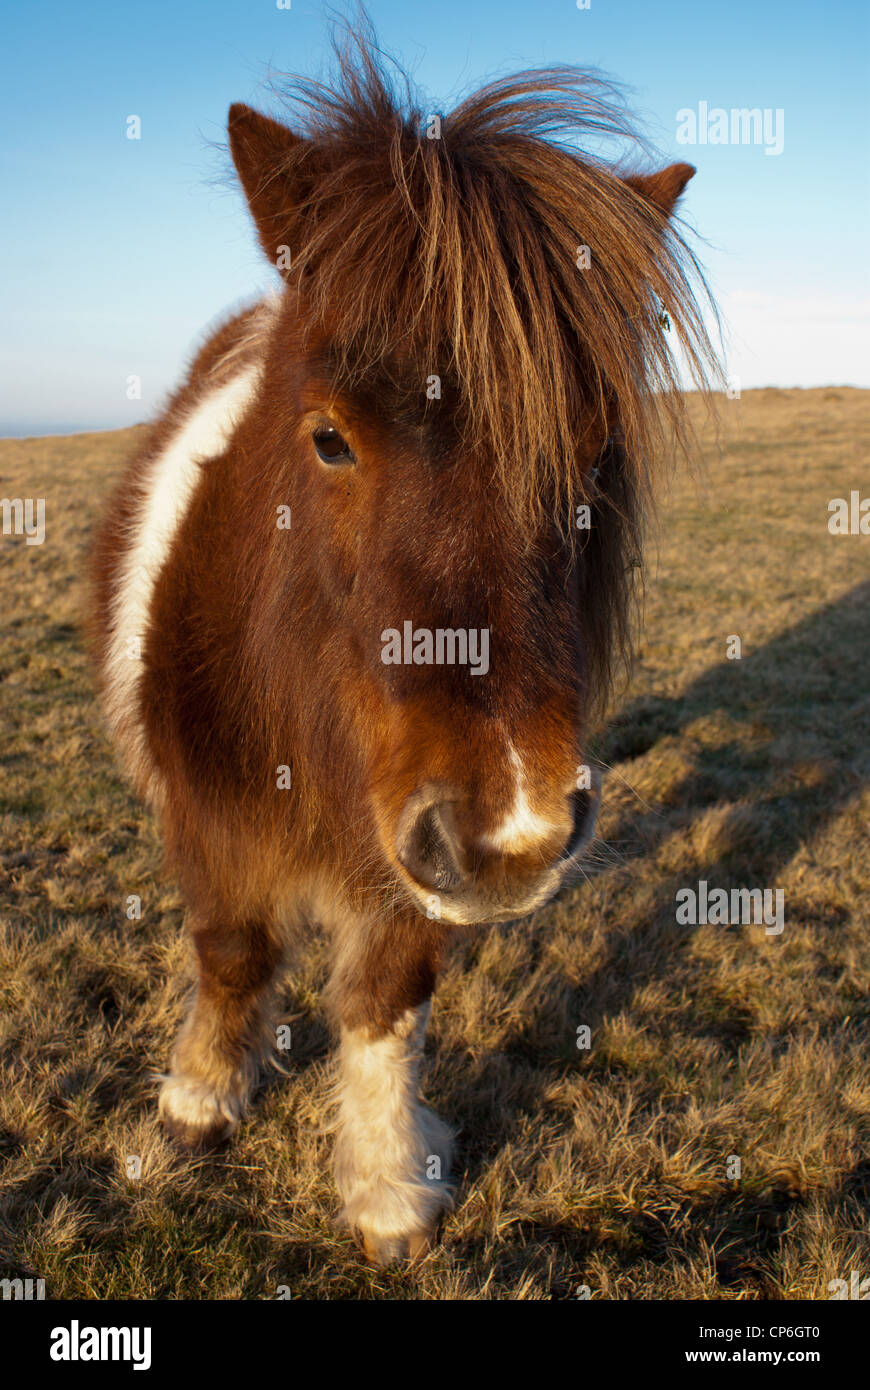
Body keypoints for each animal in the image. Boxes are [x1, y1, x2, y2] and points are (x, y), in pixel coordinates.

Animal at [88, 21, 717, 1262]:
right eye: (329, 436)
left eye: (596, 452)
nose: (510, 833)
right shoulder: (208, 817)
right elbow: (232, 950)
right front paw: (199, 1100)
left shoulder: (414, 865)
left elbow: (385, 997)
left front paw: (387, 1186)